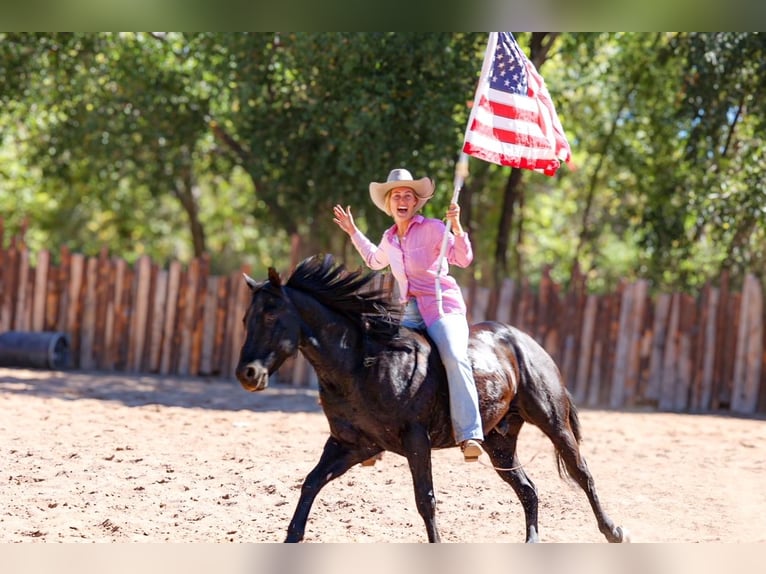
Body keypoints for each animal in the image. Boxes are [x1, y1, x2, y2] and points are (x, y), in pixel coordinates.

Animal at [236, 256, 632, 544]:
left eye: (271, 315)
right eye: (246, 318)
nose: (247, 374)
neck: (364, 363)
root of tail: (521, 339)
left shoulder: (416, 440)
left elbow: (425, 500)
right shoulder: (352, 444)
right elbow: (311, 483)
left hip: (553, 422)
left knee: (582, 474)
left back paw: (614, 531)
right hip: (499, 442)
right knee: (528, 490)